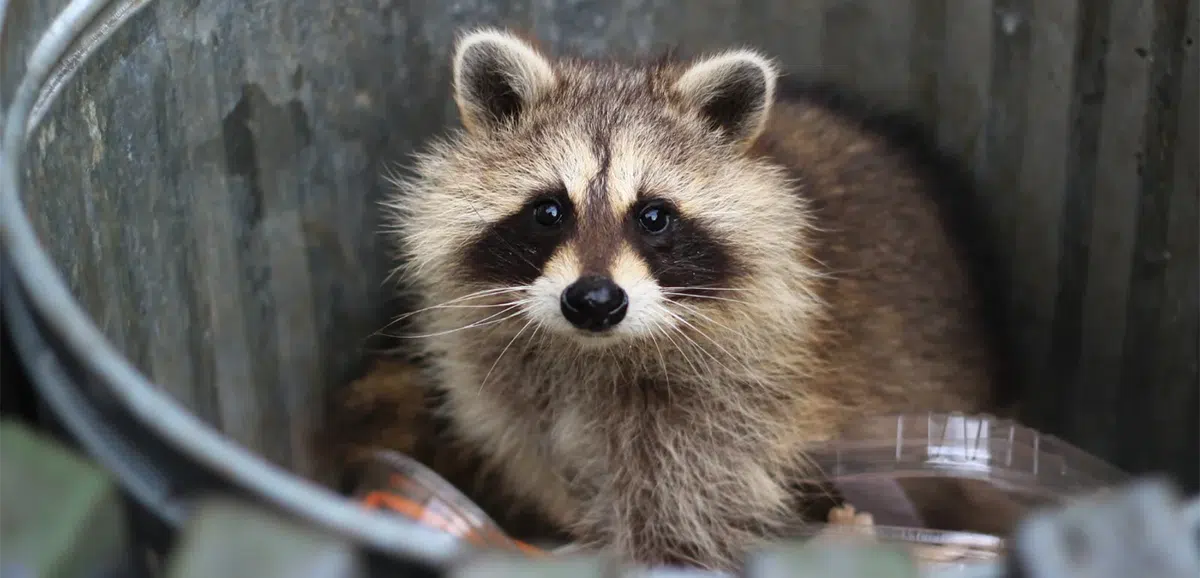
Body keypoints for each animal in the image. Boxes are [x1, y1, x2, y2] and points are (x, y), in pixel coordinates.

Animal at [382, 28, 1007, 570]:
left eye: (654, 216)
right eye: (548, 211)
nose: (594, 301)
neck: (593, 352)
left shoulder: (738, 399)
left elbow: (686, 505)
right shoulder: (508, 386)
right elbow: (543, 456)